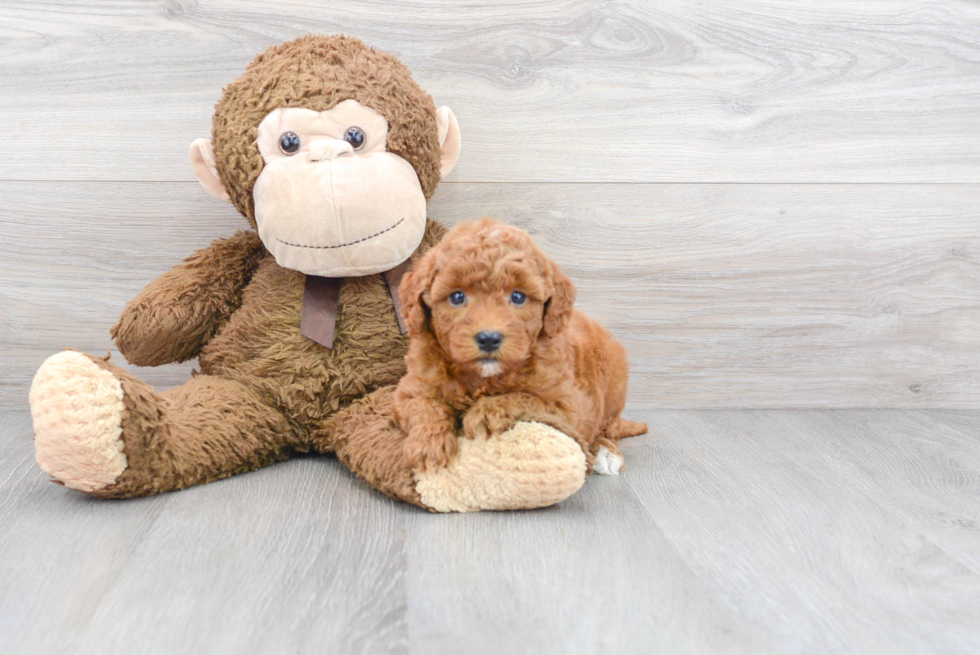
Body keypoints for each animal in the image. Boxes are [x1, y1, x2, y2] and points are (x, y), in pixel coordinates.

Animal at [394, 220, 648, 476]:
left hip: (614, 384)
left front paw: (486, 411)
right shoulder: (411, 388)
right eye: (457, 297)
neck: (483, 379)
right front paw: (428, 444)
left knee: (608, 428)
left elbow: (526, 398)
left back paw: (606, 452)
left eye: (517, 296)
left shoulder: (571, 405)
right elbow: (424, 405)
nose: (489, 338)